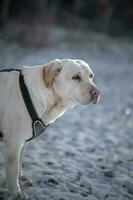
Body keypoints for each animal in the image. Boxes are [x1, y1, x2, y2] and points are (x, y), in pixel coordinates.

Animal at [0, 58, 100, 199]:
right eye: (76, 77)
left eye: (91, 76)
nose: (97, 93)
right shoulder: (13, 143)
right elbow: (13, 170)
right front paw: (15, 192)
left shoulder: (22, 143)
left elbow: (19, 164)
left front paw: (21, 179)